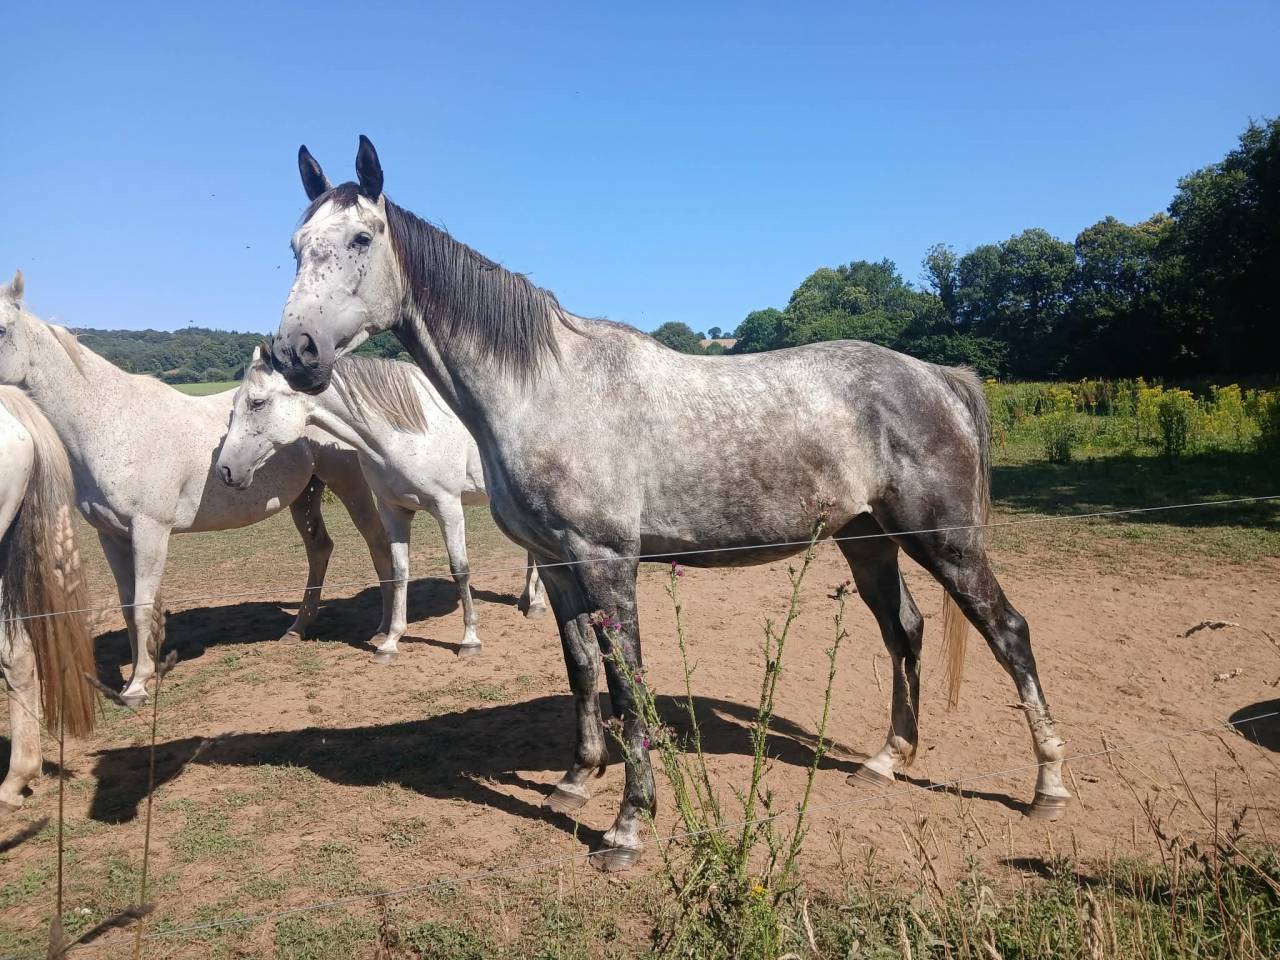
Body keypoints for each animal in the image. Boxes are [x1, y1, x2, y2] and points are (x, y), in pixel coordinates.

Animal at [0, 271, 397, 705]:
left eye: (1, 329)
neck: (112, 422)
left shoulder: (150, 531)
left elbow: (142, 605)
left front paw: (137, 686)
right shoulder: (111, 536)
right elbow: (127, 606)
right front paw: (138, 675)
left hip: (348, 484)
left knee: (379, 544)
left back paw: (382, 631)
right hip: (304, 496)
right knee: (320, 550)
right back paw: (296, 630)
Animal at [215, 344, 547, 661]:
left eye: (257, 403)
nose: (225, 470)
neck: (405, 431)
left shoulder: (448, 507)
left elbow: (460, 570)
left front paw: (469, 640)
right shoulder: (393, 511)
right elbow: (398, 571)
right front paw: (390, 642)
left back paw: (537, 604)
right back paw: (528, 600)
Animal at [270, 137, 1070, 871]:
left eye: (362, 238)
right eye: (296, 246)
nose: (294, 352)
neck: (544, 388)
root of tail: (936, 375)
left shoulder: (606, 561)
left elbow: (629, 685)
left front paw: (628, 828)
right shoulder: (556, 565)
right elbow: (583, 671)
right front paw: (574, 780)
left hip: (944, 539)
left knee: (1010, 632)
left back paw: (1048, 788)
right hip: (867, 540)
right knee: (904, 631)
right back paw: (887, 759)